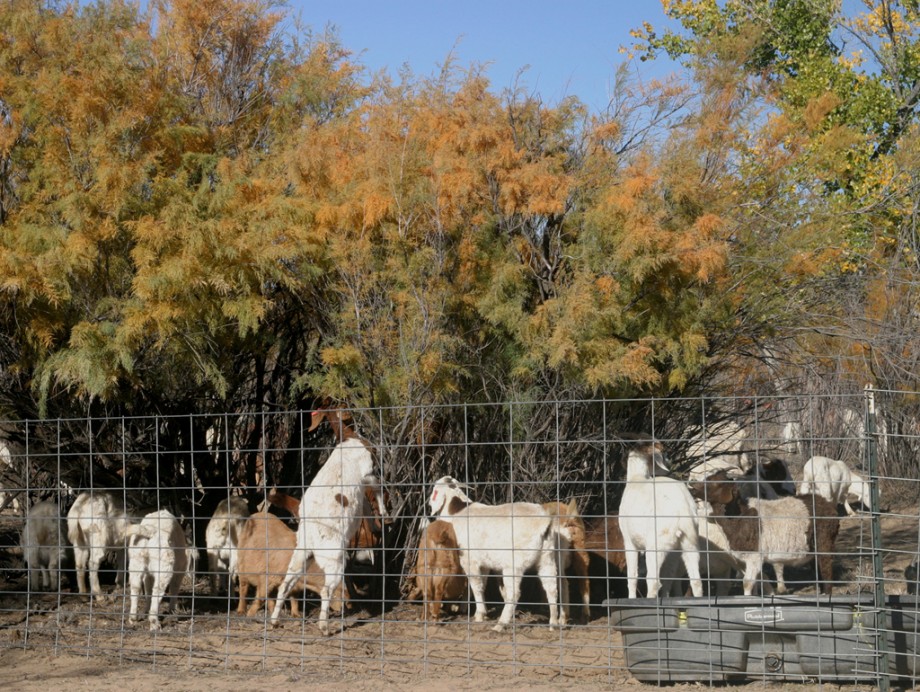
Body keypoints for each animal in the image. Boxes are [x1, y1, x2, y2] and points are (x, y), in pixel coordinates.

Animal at [426, 476, 560, 632]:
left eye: (434, 491)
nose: (428, 503)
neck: (455, 513)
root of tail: (544, 523)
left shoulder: (469, 559)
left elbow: (476, 585)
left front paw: (479, 615)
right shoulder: (484, 563)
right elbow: (482, 584)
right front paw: (481, 613)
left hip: (514, 563)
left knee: (514, 593)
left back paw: (500, 624)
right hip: (547, 557)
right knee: (551, 588)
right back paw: (553, 623)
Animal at [620, 444, 704, 600]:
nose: (669, 465)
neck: (636, 478)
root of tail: (682, 507)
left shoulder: (629, 541)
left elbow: (632, 577)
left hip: (656, 546)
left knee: (653, 581)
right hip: (686, 545)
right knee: (693, 580)